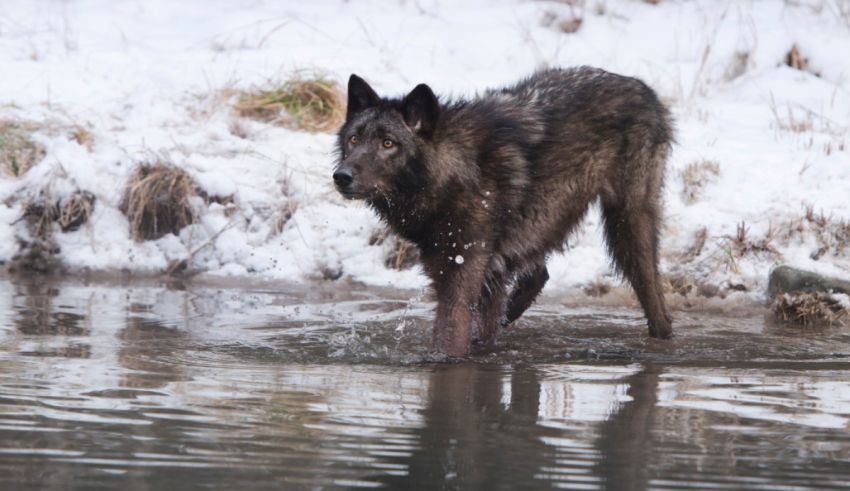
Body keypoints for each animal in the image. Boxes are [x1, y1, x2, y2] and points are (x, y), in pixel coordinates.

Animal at [333, 66, 674, 356]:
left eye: (388, 143)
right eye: (354, 139)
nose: (341, 176)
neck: (455, 174)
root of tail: (642, 87)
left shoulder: (461, 278)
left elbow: (449, 342)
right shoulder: (476, 275)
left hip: (627, 228)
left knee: (657, 304)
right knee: (537, 276)